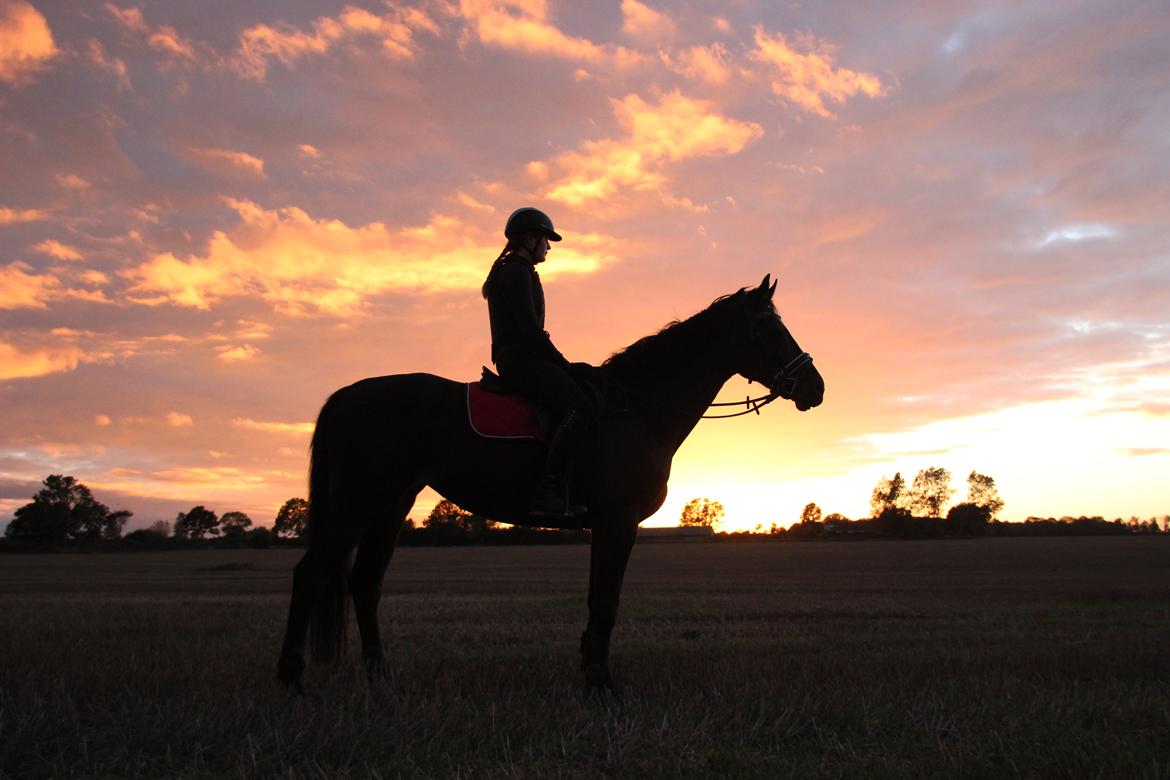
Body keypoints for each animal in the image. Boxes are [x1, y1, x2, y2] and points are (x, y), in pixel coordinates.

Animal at [276, 277, 823, 692]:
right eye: (769, 328)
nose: (815, 388)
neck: (639, 408)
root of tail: (347, 395)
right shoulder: (617, 521)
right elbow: (606, 599)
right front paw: (600, 681)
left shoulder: (608, 524)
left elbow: (599, 596)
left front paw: (589, 669)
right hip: (356, 505)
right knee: (311, 575)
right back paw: (292, 679)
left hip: (389, 505)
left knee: (365, 582)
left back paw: (379, 676)